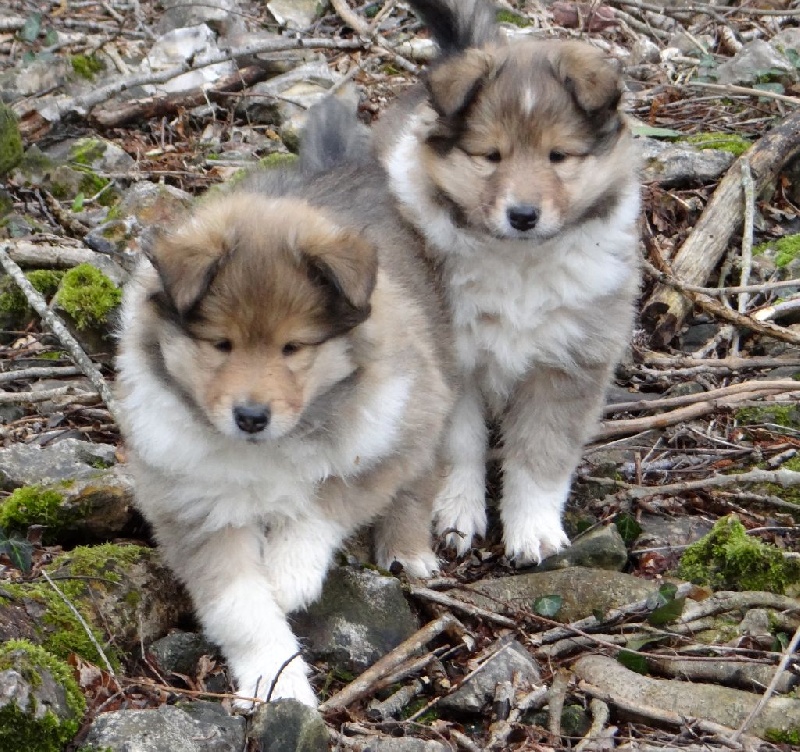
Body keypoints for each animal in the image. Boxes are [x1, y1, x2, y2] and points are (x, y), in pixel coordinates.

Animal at [119, 98, 456, 704]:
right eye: (221, 344)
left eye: (293, 347)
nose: (251, 417)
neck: (268, 448)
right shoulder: (192, 509)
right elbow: (241, 608)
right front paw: (276, 687)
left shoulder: (389, 423)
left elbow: (330, 495)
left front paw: (289, 573)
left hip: (430, 389)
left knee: (421, 473)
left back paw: (408, 548)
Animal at [376, 0, 644, 564]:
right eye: (491, 156)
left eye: (558, 156)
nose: (523, 215)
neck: (520, 263)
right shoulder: (454, 360)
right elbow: (460, 446)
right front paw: (457, 513)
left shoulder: (567, 363)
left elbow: (541, 457)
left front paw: (533, 531)